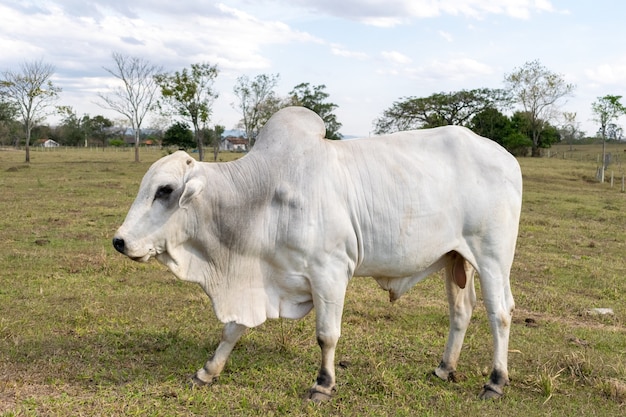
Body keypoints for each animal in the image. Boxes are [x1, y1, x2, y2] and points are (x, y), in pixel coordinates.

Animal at [113, 106, 520, 400]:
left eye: (165, 190)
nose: (120, 241)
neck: (262, 197)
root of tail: (506, 157)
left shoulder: (330, 271)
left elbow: (327, 334)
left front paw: (323, 384)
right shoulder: (263, 276)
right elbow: (232, 329)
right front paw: (207, 371)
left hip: (492, 258)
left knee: (500, 313)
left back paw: (495, 381)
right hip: (457, 258)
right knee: (461, 311)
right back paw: (444, 368)